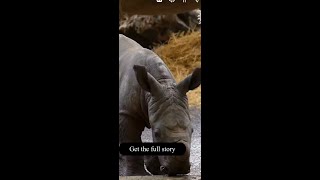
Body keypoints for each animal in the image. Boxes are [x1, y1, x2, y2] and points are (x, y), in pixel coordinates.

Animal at [119, 34, 201, 176]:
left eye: (192, 130)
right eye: (157, 133)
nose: (179, 170)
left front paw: (156, 169)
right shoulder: (128, 113)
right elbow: (129, 137)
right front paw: (137, 174)